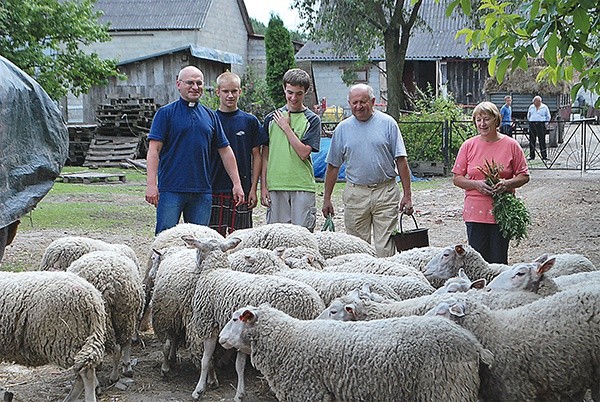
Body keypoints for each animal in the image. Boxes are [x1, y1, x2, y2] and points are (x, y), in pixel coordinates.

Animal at [67, 250, 145, 382]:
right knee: (126, 342)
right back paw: (127, 368)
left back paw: (114, 376)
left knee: (116, 348)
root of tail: (110, 282)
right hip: (125, 314)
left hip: (106, 319)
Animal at [180, 236, 326, 402]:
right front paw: (239, 394)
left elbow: (206, 360)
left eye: (197, 250)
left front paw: (199, 389)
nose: (195, 265)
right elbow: (240, 366)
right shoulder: (240, 335)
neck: (215, 271)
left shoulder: (208, 323)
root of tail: (315, 306)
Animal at [218, 304, 490, 402]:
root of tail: (472, 342)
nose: (220, 338)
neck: (287, 338)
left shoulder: (308, 391)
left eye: (235, 318)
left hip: (447, 387)